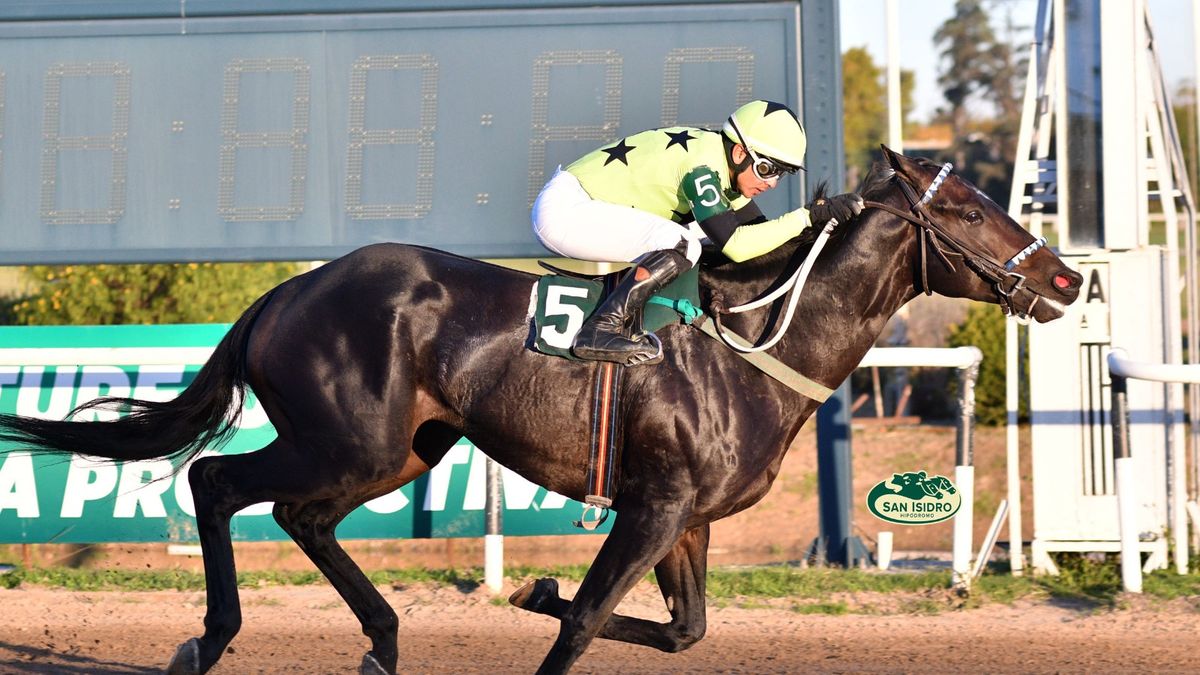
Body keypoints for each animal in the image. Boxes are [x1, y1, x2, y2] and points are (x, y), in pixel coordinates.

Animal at [0, 147, 1084, 672]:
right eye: (969, 210)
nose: (1068, 279)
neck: (755, 342)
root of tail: (288, 290)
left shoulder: (685, 516)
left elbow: (679, 631)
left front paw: (531, 589)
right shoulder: (653, 506)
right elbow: (589, 621)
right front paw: (544, 596)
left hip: (402, 449)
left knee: (297, 516)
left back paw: (382, 640)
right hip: (346, 437)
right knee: (218, 480)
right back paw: (211, 637)